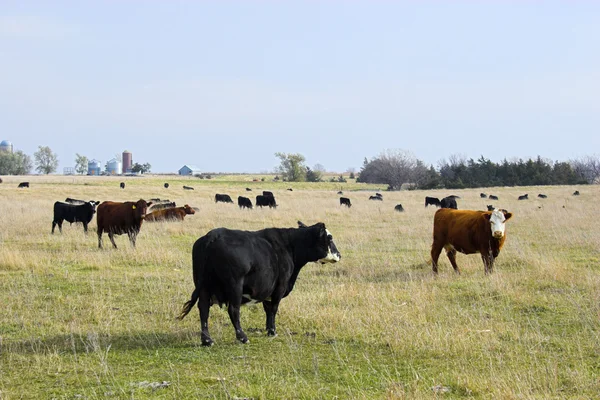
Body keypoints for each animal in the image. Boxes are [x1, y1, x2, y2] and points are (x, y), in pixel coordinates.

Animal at [176, 220, 340, 346]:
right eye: (330, 238)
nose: (339, 254)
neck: (289, 246)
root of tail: (213, 235)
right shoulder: (279, 287)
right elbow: (273, 309)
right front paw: (273, 331)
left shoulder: (267, 289)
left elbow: (267, 309)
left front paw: (269, 330)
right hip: (234, 286)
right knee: (233, 310)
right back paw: (242, 337)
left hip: (203, 287)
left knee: (203, 310)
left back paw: (207, 340)